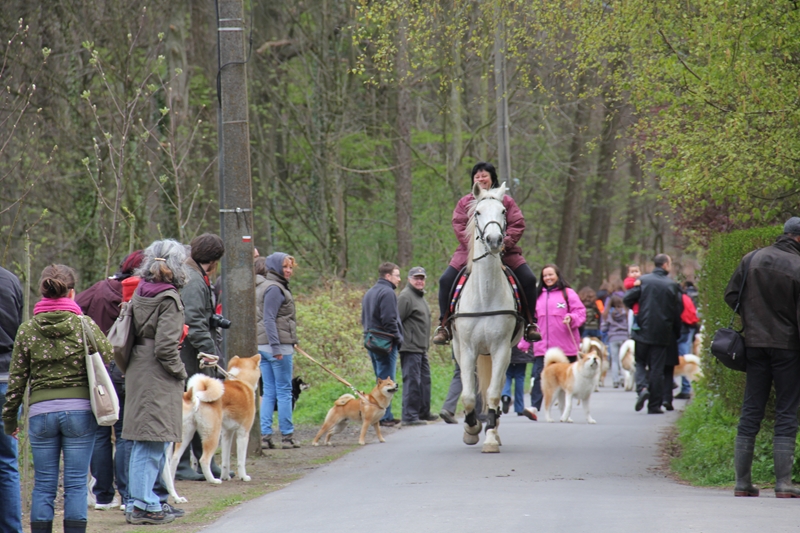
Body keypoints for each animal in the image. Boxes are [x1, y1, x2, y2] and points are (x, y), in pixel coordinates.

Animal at [163, 356, 260, 500]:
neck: (240, 380)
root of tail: (197, 396)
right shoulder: (243, 433)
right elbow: (241, 460)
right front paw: (243, 477)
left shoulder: (227, 434)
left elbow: (225, 460)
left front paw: (225, 476)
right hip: (213, 434)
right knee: (203, 460)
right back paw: (212, 480)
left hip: (187, 435)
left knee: (174, 459)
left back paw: (172, 482)